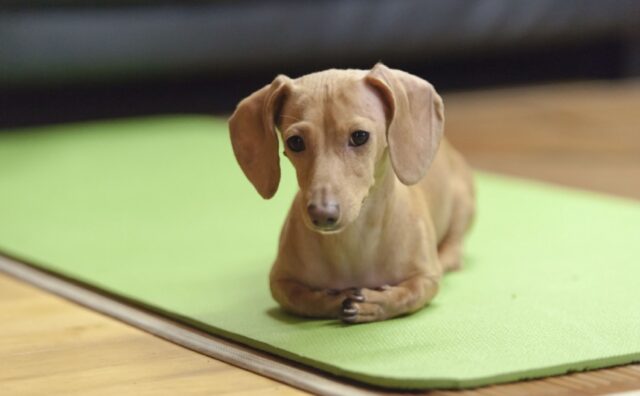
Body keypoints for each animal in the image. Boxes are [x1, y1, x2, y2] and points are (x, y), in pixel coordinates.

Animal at [230, 62, 476, 322]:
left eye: (359, 136)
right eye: (295, 142)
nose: (322, 214)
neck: (355, 239)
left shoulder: (426, 278)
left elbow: (409, 295)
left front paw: (376, 303)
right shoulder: (279, 281)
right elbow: (303, 299)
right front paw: (333, 299)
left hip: (464, 202)